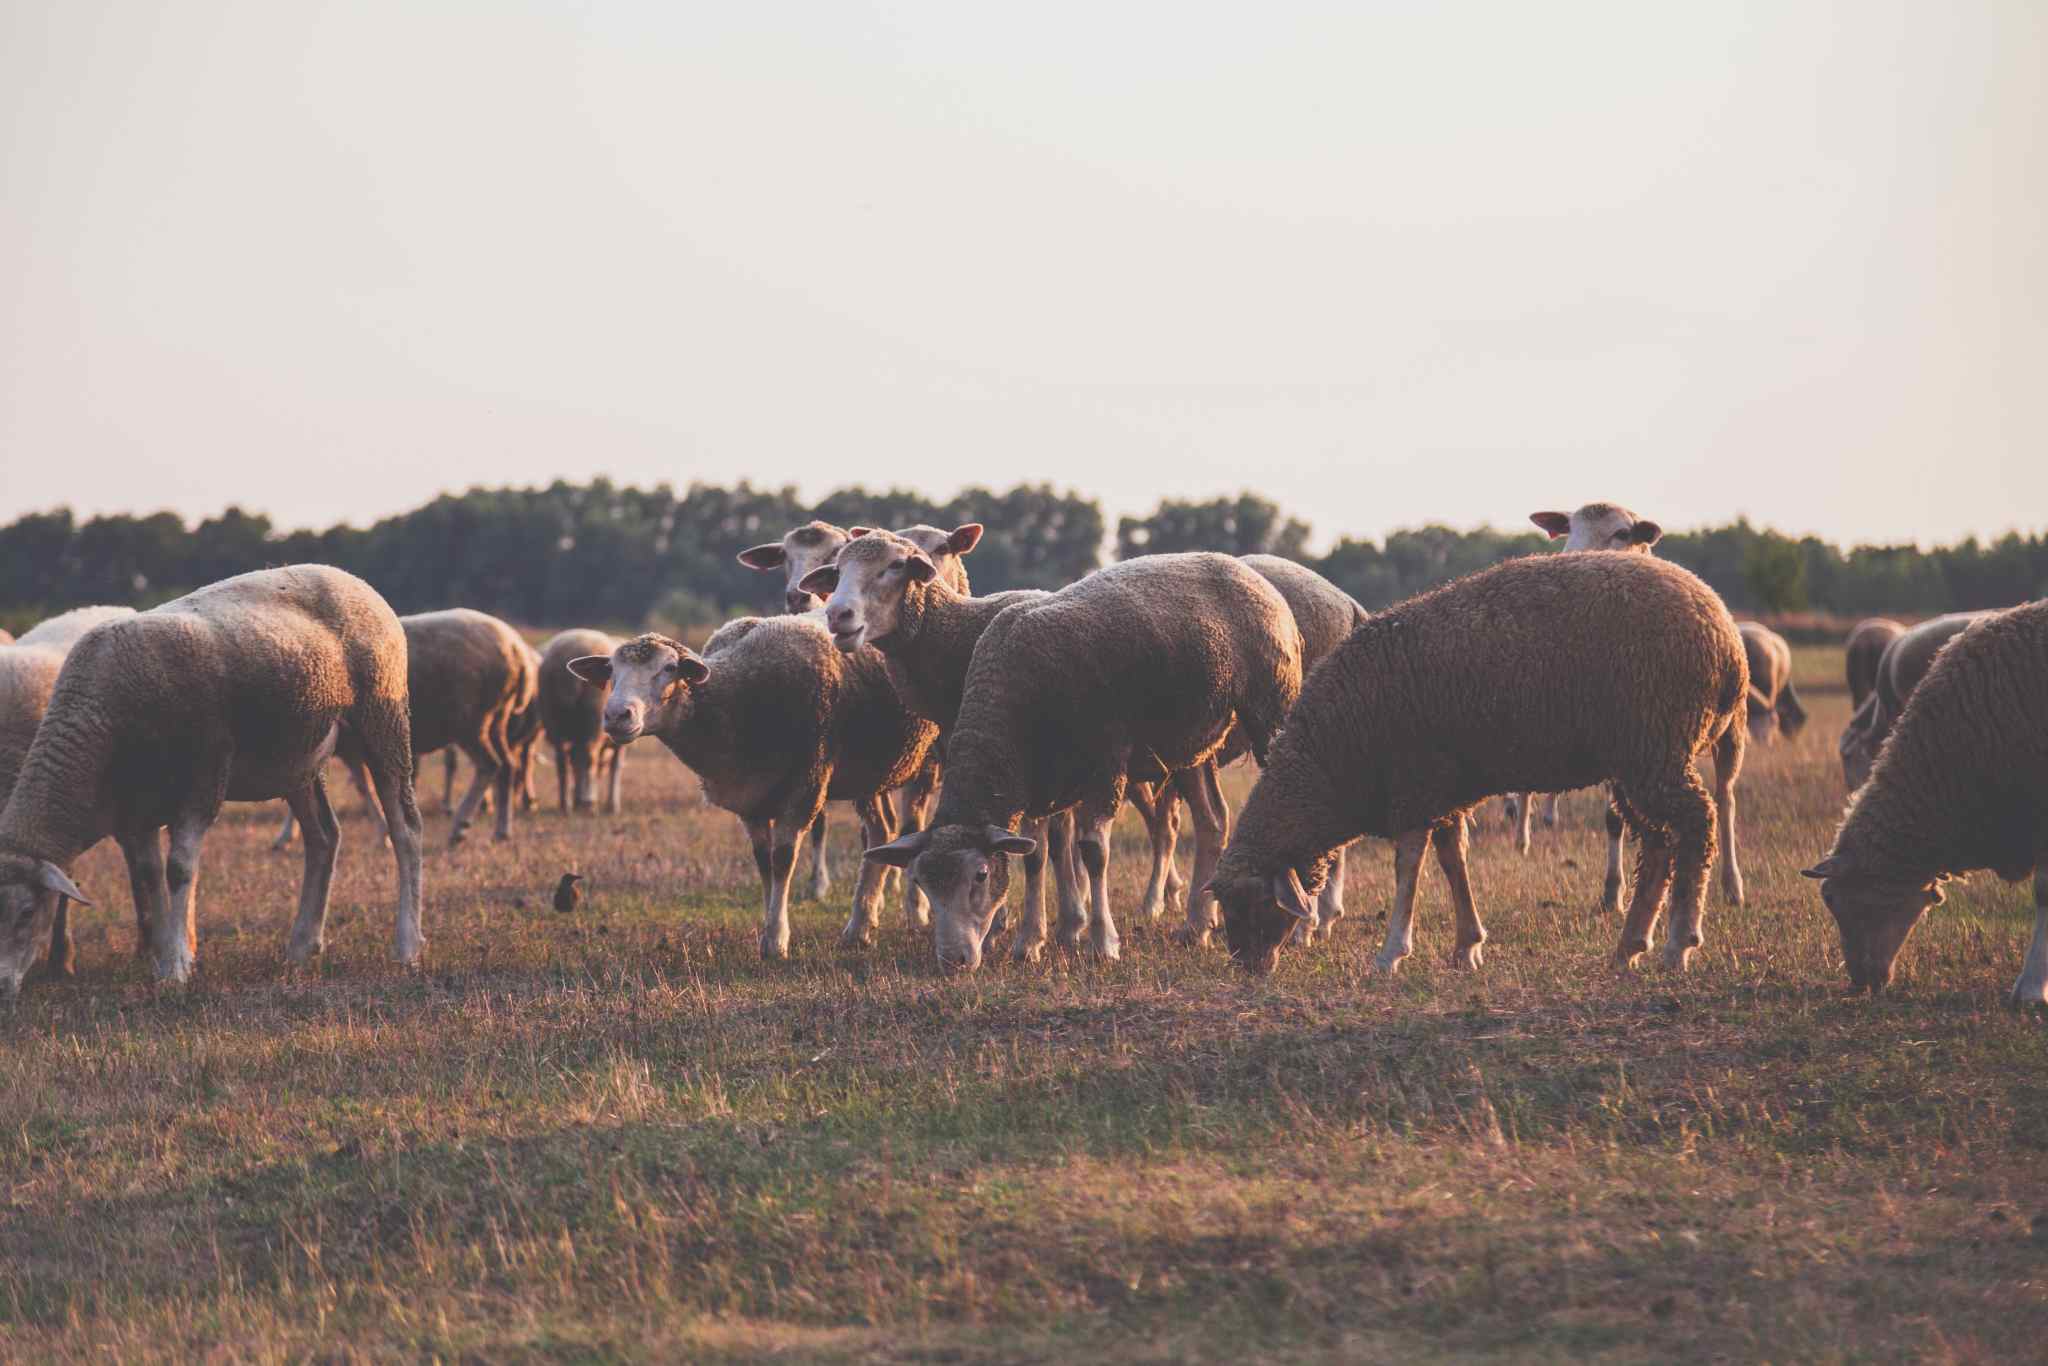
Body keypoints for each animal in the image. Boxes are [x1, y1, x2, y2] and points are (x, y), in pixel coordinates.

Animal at [568, 620, 938, 959]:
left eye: (670, 668)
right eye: (611, 670)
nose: (616, 715)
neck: (736, 700)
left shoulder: (805, 786)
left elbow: (782, 860)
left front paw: (776, 940)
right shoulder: (751, 798)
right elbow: (763, 863)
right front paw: (767, 929)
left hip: (927, 756)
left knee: (910, 826)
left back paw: (915, 913)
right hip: (874, 770)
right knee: (881, 831)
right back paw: (859, 928)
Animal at [862, 552, 1304, 972]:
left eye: (981, 875)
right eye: (921, 881)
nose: (952, 961)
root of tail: (1246, 570)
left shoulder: (1106, 765)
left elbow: (1092, 852)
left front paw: (1102, 943)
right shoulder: (1035, 781)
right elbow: (1035, 856)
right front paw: (1029, 943)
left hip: (1270, 705)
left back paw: (1304, 926)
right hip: (1192, 744)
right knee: (1212, 820)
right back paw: (1197, 926)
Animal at [1206, 552, 1748, 977]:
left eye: (1253, 904)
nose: (1249, 969)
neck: (1331, 760)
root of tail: (1728, 641)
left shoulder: (1415, 787)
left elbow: (1409, 868)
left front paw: (1391, 953)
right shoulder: (1443, 791)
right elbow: (1453, 861)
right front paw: (1467, 945)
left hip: (1657, 746)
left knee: (1697, 823)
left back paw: (1679, 943)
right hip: (1638, 760)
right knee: (1657, 843)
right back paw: (1628, 946)